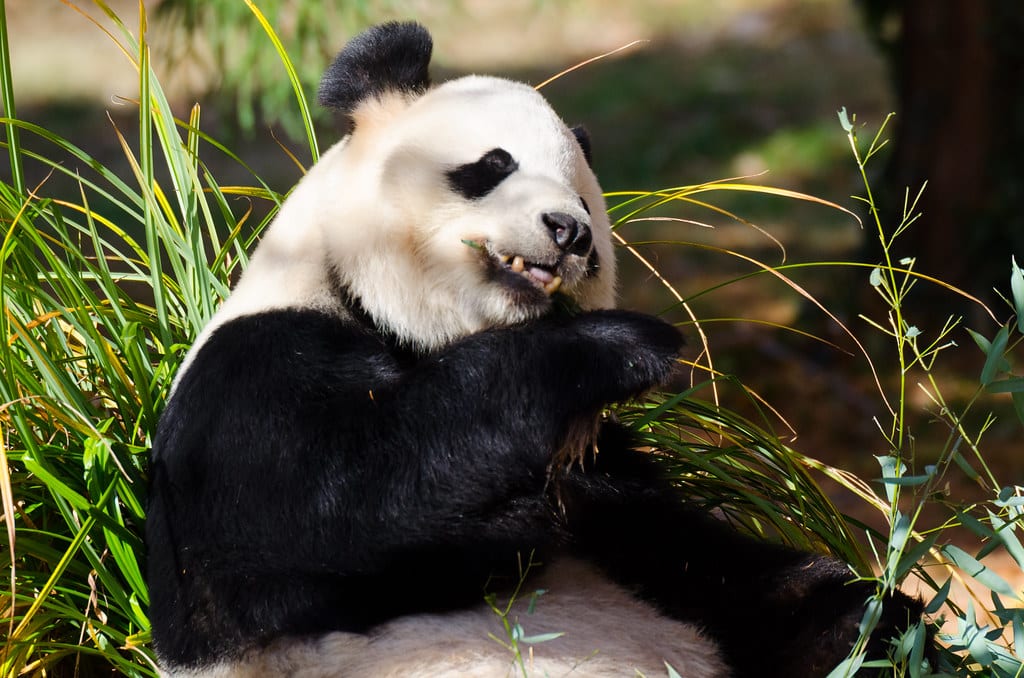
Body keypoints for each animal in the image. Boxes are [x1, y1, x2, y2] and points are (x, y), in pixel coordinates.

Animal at [146, 21, 927, 678]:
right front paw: (622, 347)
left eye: (585, 200)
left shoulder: (610, 477)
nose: (568, 232)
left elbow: (706, 562)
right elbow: (342, 492)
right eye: (493, 164)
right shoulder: (253, 377)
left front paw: (865, 617)